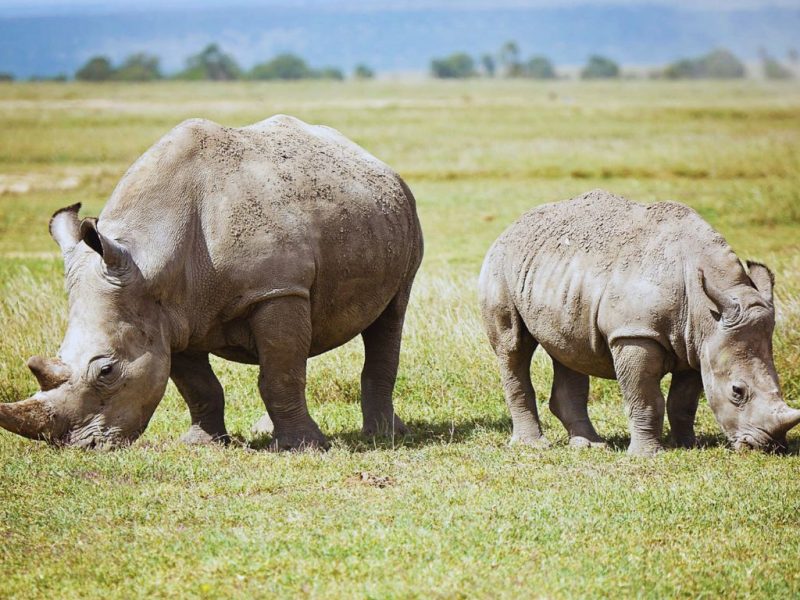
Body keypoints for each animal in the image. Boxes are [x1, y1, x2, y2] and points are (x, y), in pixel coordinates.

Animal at [0, 115, 423, 450]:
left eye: (107, 371)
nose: (79, 446)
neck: (150, 257)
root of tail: (373, 160)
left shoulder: (276, 291)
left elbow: (279, 374)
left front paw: (304, 447)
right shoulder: (169, 314)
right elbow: (199, 385)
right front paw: (202, 444)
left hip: (404, 214)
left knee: (390, 316)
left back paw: (383, 436)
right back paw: (266, 430)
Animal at [479, 189, 800, 456]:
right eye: (737, 391)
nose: (770, 446)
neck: (706, 307)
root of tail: (512, 226)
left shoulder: (698, 342)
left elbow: (683, 402)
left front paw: (687, 445)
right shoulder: (635, 334)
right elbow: (646, 398)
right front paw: (648, 455)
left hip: (558, 275)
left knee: (569, 348)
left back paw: (591, 446)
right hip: (500, 264)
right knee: (513, 348)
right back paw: (533, 445)